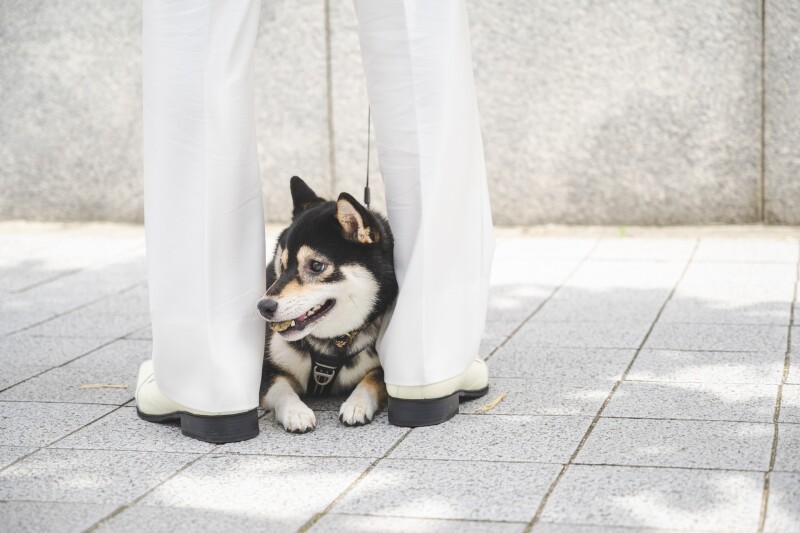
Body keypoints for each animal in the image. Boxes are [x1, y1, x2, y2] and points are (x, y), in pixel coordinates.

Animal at [258, 176, 398, 432]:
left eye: (316, 266)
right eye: (282, 265)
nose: (263, 307)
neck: (333, 345)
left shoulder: (384, 366)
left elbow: (372, 379)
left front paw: (356, 404)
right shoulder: (265, 370)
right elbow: (282, 388)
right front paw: (296, 411)